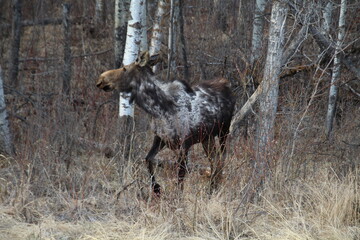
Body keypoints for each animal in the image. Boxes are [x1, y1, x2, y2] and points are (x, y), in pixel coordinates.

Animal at [97, 52, 235, 195]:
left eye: (125, 69)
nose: (101, 79)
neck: (157, 110)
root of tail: (227, 84)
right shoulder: (160, 138)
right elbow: (148, 159)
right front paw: (156, 188)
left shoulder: (184, 143)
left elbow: (181, 174)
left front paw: (177, 196)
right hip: (206, 138)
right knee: (214, 161)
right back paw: (212, 188)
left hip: (223, 132)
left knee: (222, 159)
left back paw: (214, 187)